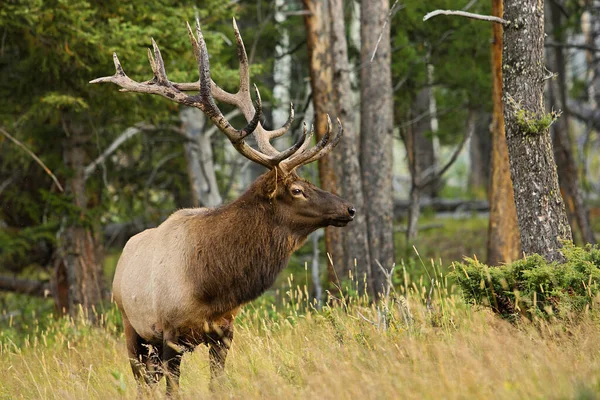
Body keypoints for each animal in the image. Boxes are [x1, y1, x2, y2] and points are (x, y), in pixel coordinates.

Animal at [91, 18, 354, 394]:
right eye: (297, 189)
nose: (349, 209)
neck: (214, 285)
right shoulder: (171, 336)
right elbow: (173, 391)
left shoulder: (224, 332)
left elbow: (218, 384)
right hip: (131, 327)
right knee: (143, 382)